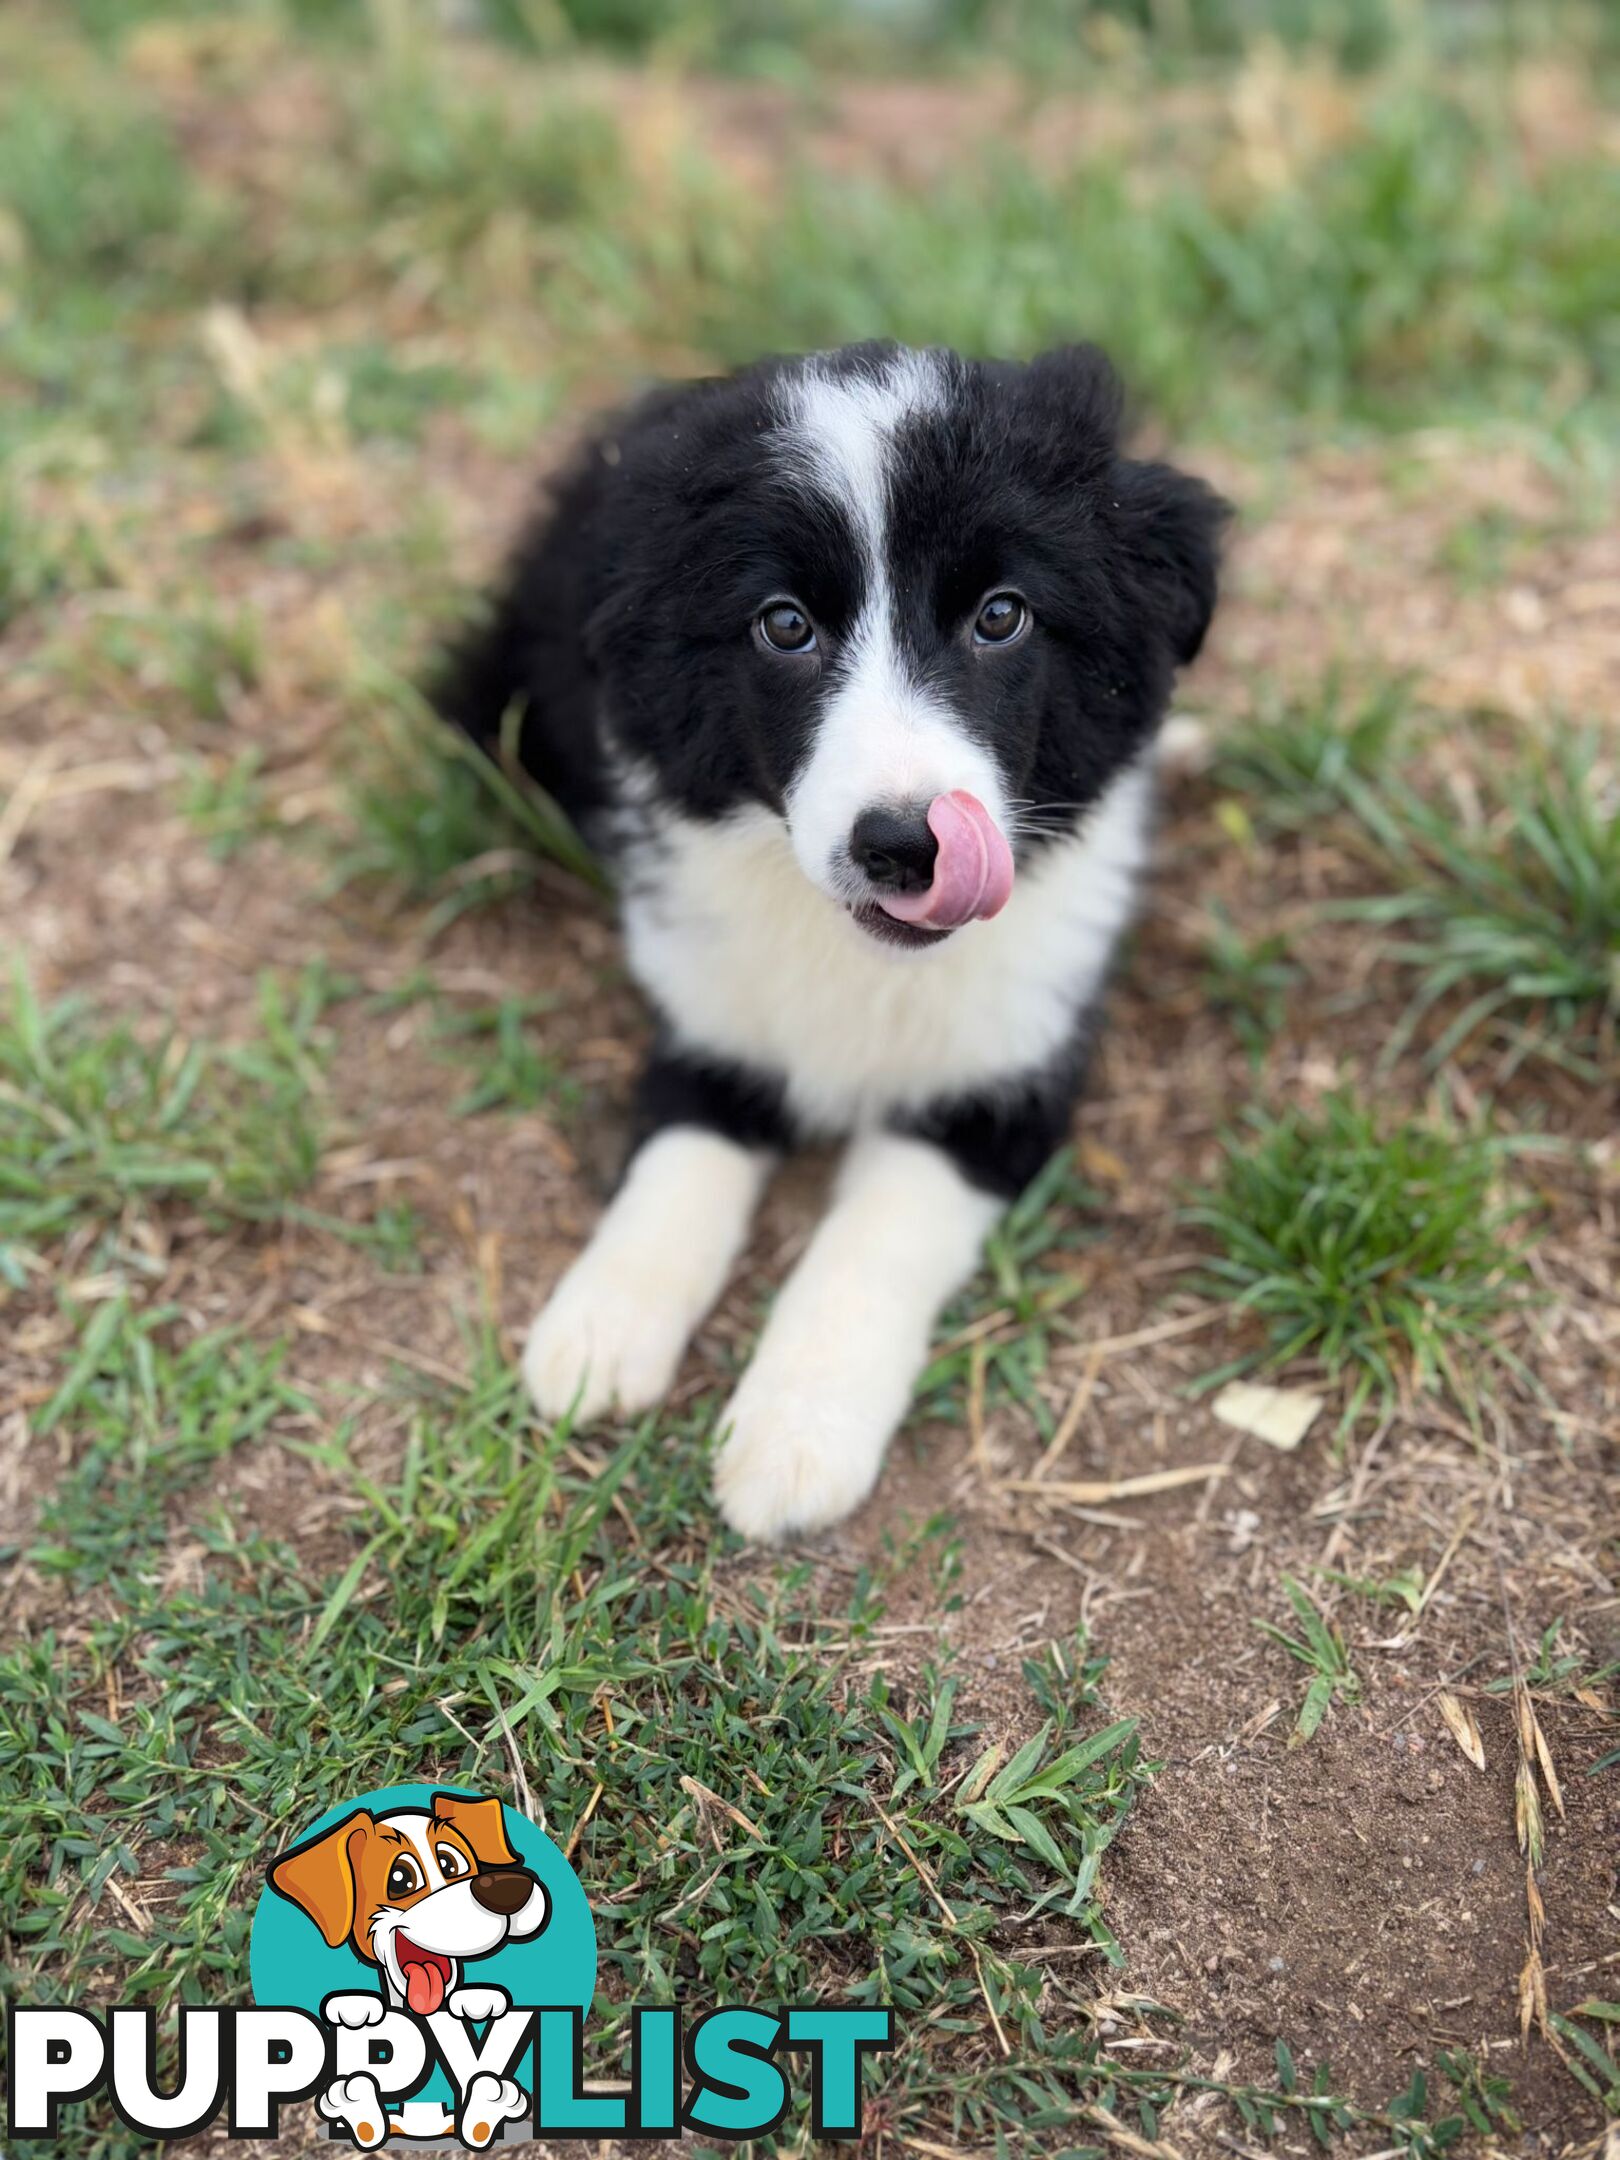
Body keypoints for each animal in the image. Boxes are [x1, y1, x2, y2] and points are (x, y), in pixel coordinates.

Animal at [438, 336, 1226, 1546]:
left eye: (1001, 616)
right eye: (784, 626)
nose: (906, 845)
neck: (859, 963)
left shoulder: (1002, 1081)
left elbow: (869, 1241)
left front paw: (794, 1436)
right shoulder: (710, 1019)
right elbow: (677, 1158)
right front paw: (601, 1327)